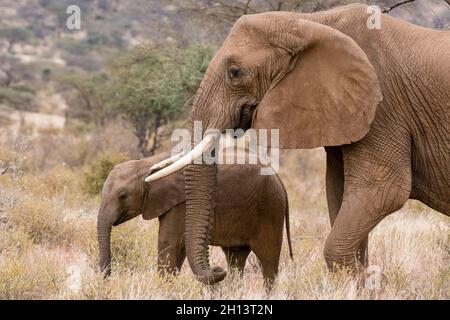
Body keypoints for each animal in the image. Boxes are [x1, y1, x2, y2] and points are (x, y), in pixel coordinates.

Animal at [97, 151, 292, 284]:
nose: (108, 276)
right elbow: (178, 247)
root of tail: (279, 179)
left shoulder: (181, 204)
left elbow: (168, 242)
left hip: (270, 211)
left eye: (122, 195)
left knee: (268, 260)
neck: (147, 164)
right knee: (236, 258)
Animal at [146, 3, 448, 284]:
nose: (218, 271)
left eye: (234, 72)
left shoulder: (383, 109)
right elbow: (339, 193)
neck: (308, 23)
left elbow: (384, 191)